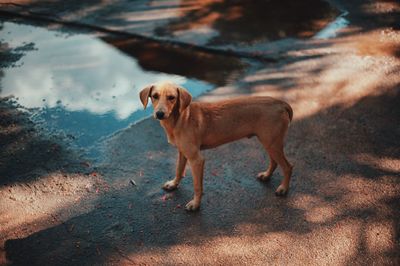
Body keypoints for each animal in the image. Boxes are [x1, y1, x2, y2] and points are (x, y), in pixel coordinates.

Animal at [141, 80, 294, 210]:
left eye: (171, 97)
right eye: (154, 96)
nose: (159, 114)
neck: (180, 118)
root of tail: (280, 103)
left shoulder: (196, 159)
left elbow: (197, 185)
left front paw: (195, 204)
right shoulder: (182, 152)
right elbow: (178, 170)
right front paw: (173, 184)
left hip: (272, 143)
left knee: (288, 167)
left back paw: (283, 188)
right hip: (269, 142)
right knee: (274, 162)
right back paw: (267, 176)